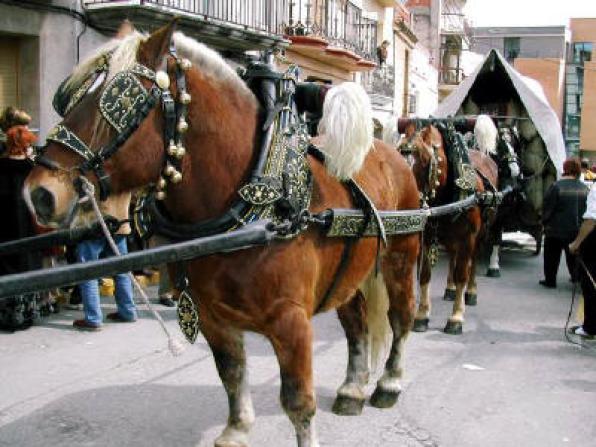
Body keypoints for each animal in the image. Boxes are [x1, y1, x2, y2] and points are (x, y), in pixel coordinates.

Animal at [24, 23, 420, 447]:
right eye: (67, 99)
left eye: (118, 100)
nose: (40, 193)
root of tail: (391, 153)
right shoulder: (211, 315)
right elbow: (231, 373)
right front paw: (237, 429)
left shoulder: (292, 322)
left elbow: (298, 401)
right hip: (348, 273)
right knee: (356, 322)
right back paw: (352, 389)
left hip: (401, 258)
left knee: (400, 318)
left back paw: (389, 384)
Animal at [400, 121, 498, 334]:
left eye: (425, 160)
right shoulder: (428, 236)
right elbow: (425, 274)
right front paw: (422, 315)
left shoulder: (468, 238)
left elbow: (462, 273)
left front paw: (456, 317)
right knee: (453, 256)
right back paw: (450, 289)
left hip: (481, 233)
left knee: (473, 261)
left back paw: (471, 291)